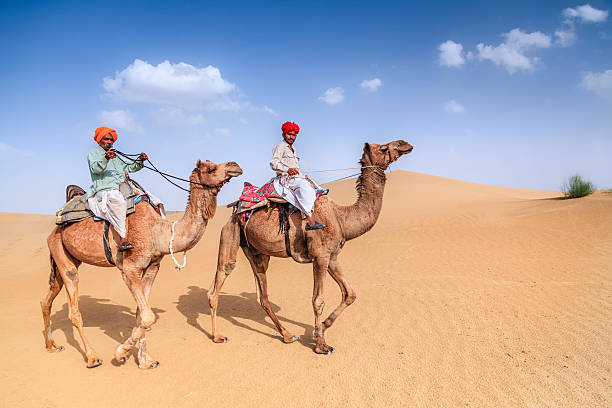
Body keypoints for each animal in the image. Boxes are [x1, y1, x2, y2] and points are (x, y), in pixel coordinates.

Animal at [41, 159, 243, 366]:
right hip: (62, 254)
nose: (235, 165)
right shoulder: (130, 268)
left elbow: (141, 314)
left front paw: (145, 360)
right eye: (212, 168)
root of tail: (54, 230)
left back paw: (52, 346)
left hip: (64, 258)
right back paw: (92, 357)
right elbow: (148, 316)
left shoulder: (152, 267)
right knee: (73, 305)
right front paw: (121, 353)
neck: (159, 232)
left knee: (46, 299)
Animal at [208, 140, 414, 354]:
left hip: (256, 252)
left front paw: (321, 327)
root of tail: (235, 209)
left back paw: (288, 335)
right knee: (221, 278)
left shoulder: (332, 257)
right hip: (230, 232)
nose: (405, 144)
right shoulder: (320, 256)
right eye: (383, 148)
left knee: (263, 295)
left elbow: (350, 294)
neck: (341, 217)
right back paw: (217, 336)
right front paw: (321, 344)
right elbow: (318, 300)